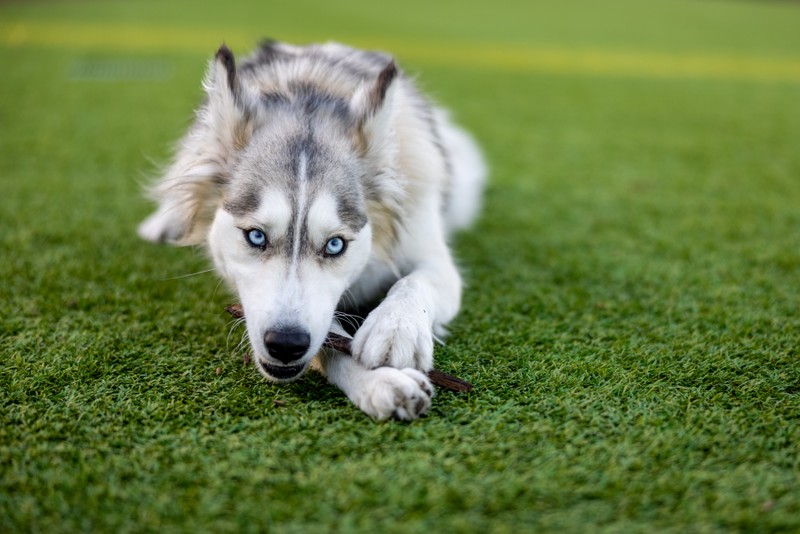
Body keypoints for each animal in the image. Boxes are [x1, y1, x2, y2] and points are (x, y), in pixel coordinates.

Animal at [138, 39, 484, 420]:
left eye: (335, 245)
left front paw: (395, 328)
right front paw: (379, 381)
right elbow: (330, 339)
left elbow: (414, 282)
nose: (286, 345)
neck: (311, 93)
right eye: (256, 236)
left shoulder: (433, 254)